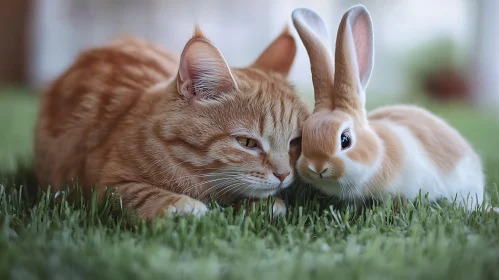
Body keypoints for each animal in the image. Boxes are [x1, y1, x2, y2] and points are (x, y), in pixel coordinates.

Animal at [33, 25, 310, 219]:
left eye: (295, 142)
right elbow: (138, 194)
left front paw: (261, 205)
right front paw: (180, 205)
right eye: (247, 142)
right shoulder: (105, 187)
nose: (284, 174)